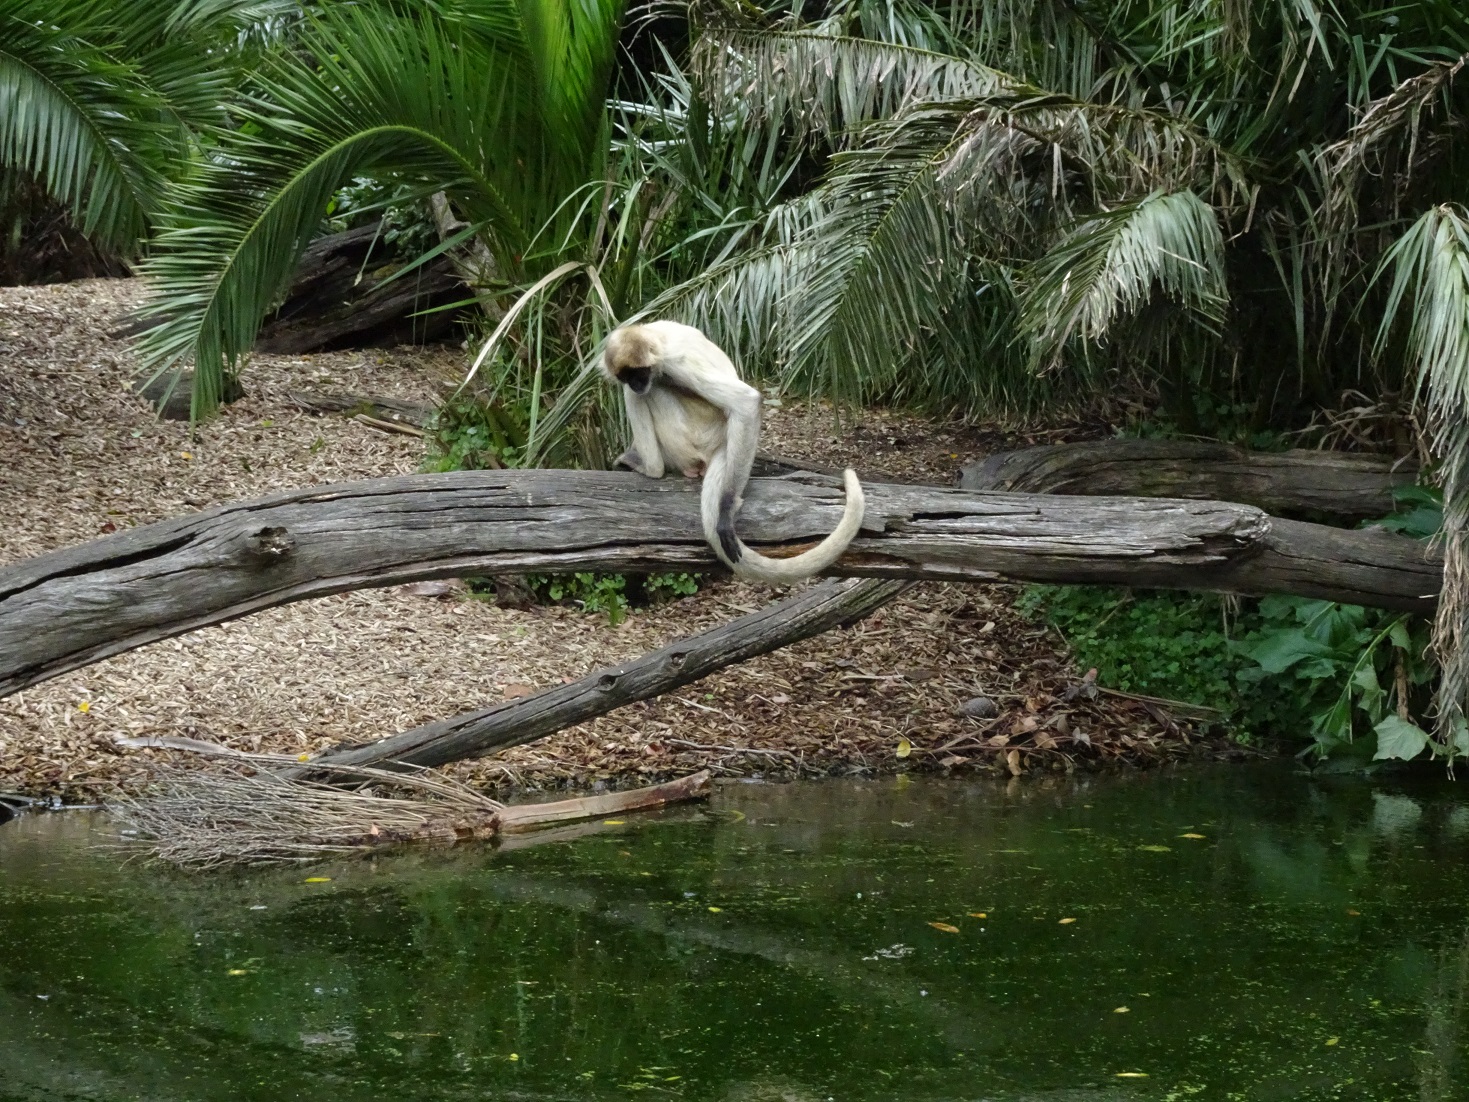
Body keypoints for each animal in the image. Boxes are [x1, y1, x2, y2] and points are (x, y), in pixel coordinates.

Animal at [601, 320, 865, 583]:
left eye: (640, 373)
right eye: (625, 376)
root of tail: (723, 441)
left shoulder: (675, 363)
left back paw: (650, 467)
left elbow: (746, 403)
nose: (635, 384)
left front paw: (726, 510)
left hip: (693, 435)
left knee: (648, 395)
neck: (654, 336)